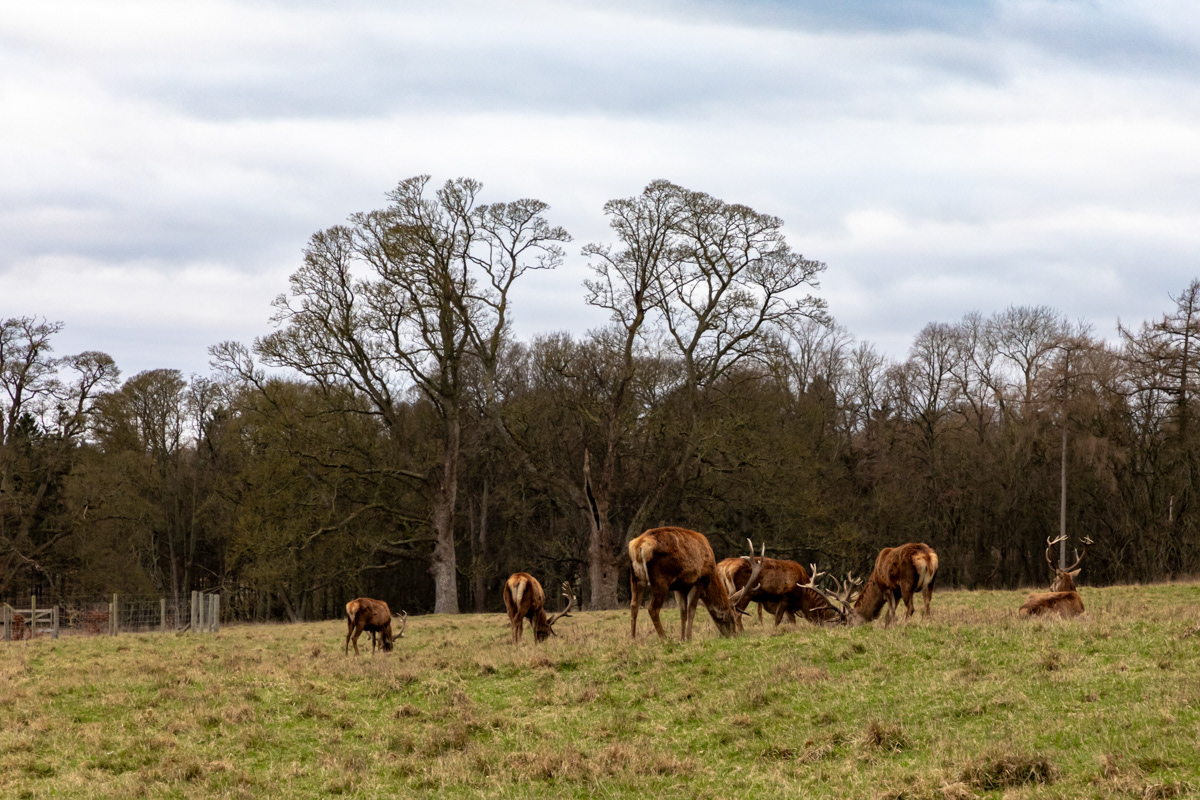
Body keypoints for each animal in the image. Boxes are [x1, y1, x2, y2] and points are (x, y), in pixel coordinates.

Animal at [629, 527, 764, 641]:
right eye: (729, 617)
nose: (733, 635)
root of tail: (639, 545)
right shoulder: (699, 582)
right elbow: (691, 611)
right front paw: (688, 638)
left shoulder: (680, 587)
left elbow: (683, 612)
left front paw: (682, 638)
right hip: (661, 579)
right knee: (652, 609)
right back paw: (665, 639)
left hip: (636, 576)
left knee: (634, 605)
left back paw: (633, 639)